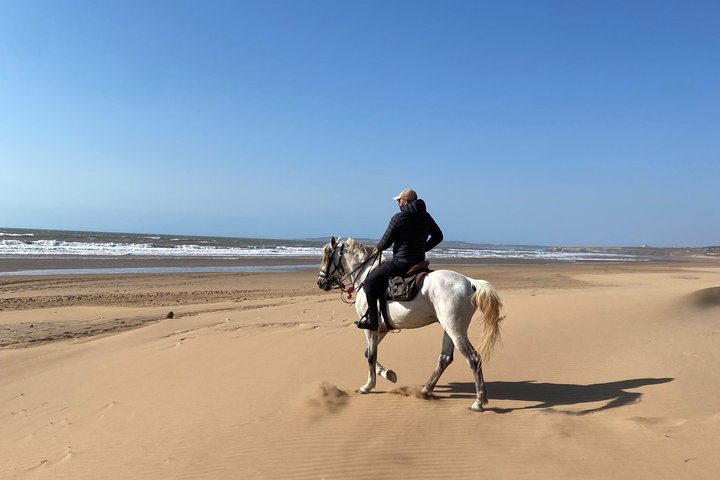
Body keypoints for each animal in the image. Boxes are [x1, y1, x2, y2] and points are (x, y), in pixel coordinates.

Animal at [316, 236, 504, 411]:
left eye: (328, 256)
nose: (320, 282)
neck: (365, 275)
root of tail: (470, 282)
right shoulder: (381, 329)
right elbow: (367, 353)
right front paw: (388, 374)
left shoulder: (370, 328)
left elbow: (371, 356)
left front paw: (368, 386)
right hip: (448, 329)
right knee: (445, 358)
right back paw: (426, 390)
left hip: (455, 330)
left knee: (473, 358)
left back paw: (478, 402)